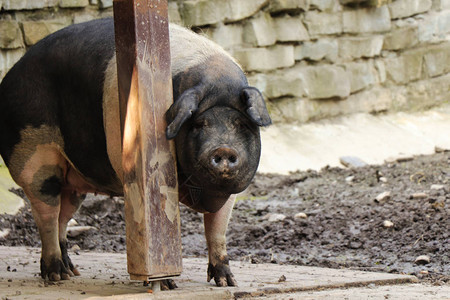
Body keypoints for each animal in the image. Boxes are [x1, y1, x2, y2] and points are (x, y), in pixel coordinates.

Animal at [0, 17, 270, 288]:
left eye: (242, 124)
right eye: (198, 125)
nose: (223, 148)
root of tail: (9, 77)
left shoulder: (230, 195)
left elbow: (217, 231)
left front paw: (228, 282)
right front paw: (167, 284)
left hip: (73, 182)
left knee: (61, 218)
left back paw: (72, 272)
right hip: (34, 158)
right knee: (45, 213)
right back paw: (56, 275)